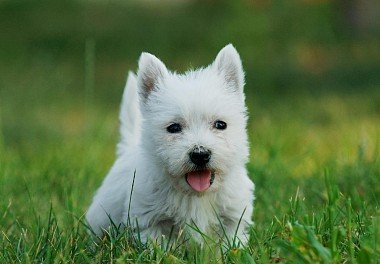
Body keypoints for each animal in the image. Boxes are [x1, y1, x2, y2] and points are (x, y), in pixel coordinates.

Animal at [86, 44, 255, 244]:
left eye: (220, 124)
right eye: (173, 128)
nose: (200, 154)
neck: (195, 195)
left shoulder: (233, 219)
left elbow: (230, 244)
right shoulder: (149, 221)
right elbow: (157, 246)